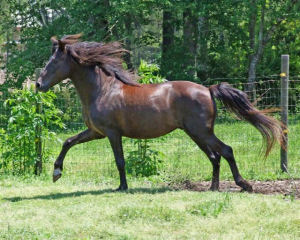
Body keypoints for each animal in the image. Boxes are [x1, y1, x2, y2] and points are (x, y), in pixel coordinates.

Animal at [35, 33, 284, 192]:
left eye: (54, 62)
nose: (38, 85)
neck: (102, 90)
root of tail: (207, 89)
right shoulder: (96, 132)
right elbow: (68, 141)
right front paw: (56, 172)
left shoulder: (112, 134)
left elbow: (120, 161)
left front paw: (122, 187)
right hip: (195, 133)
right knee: (215, 156)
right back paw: (213, 188)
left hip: (202, 132)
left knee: (226, 150)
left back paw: (244, 185)